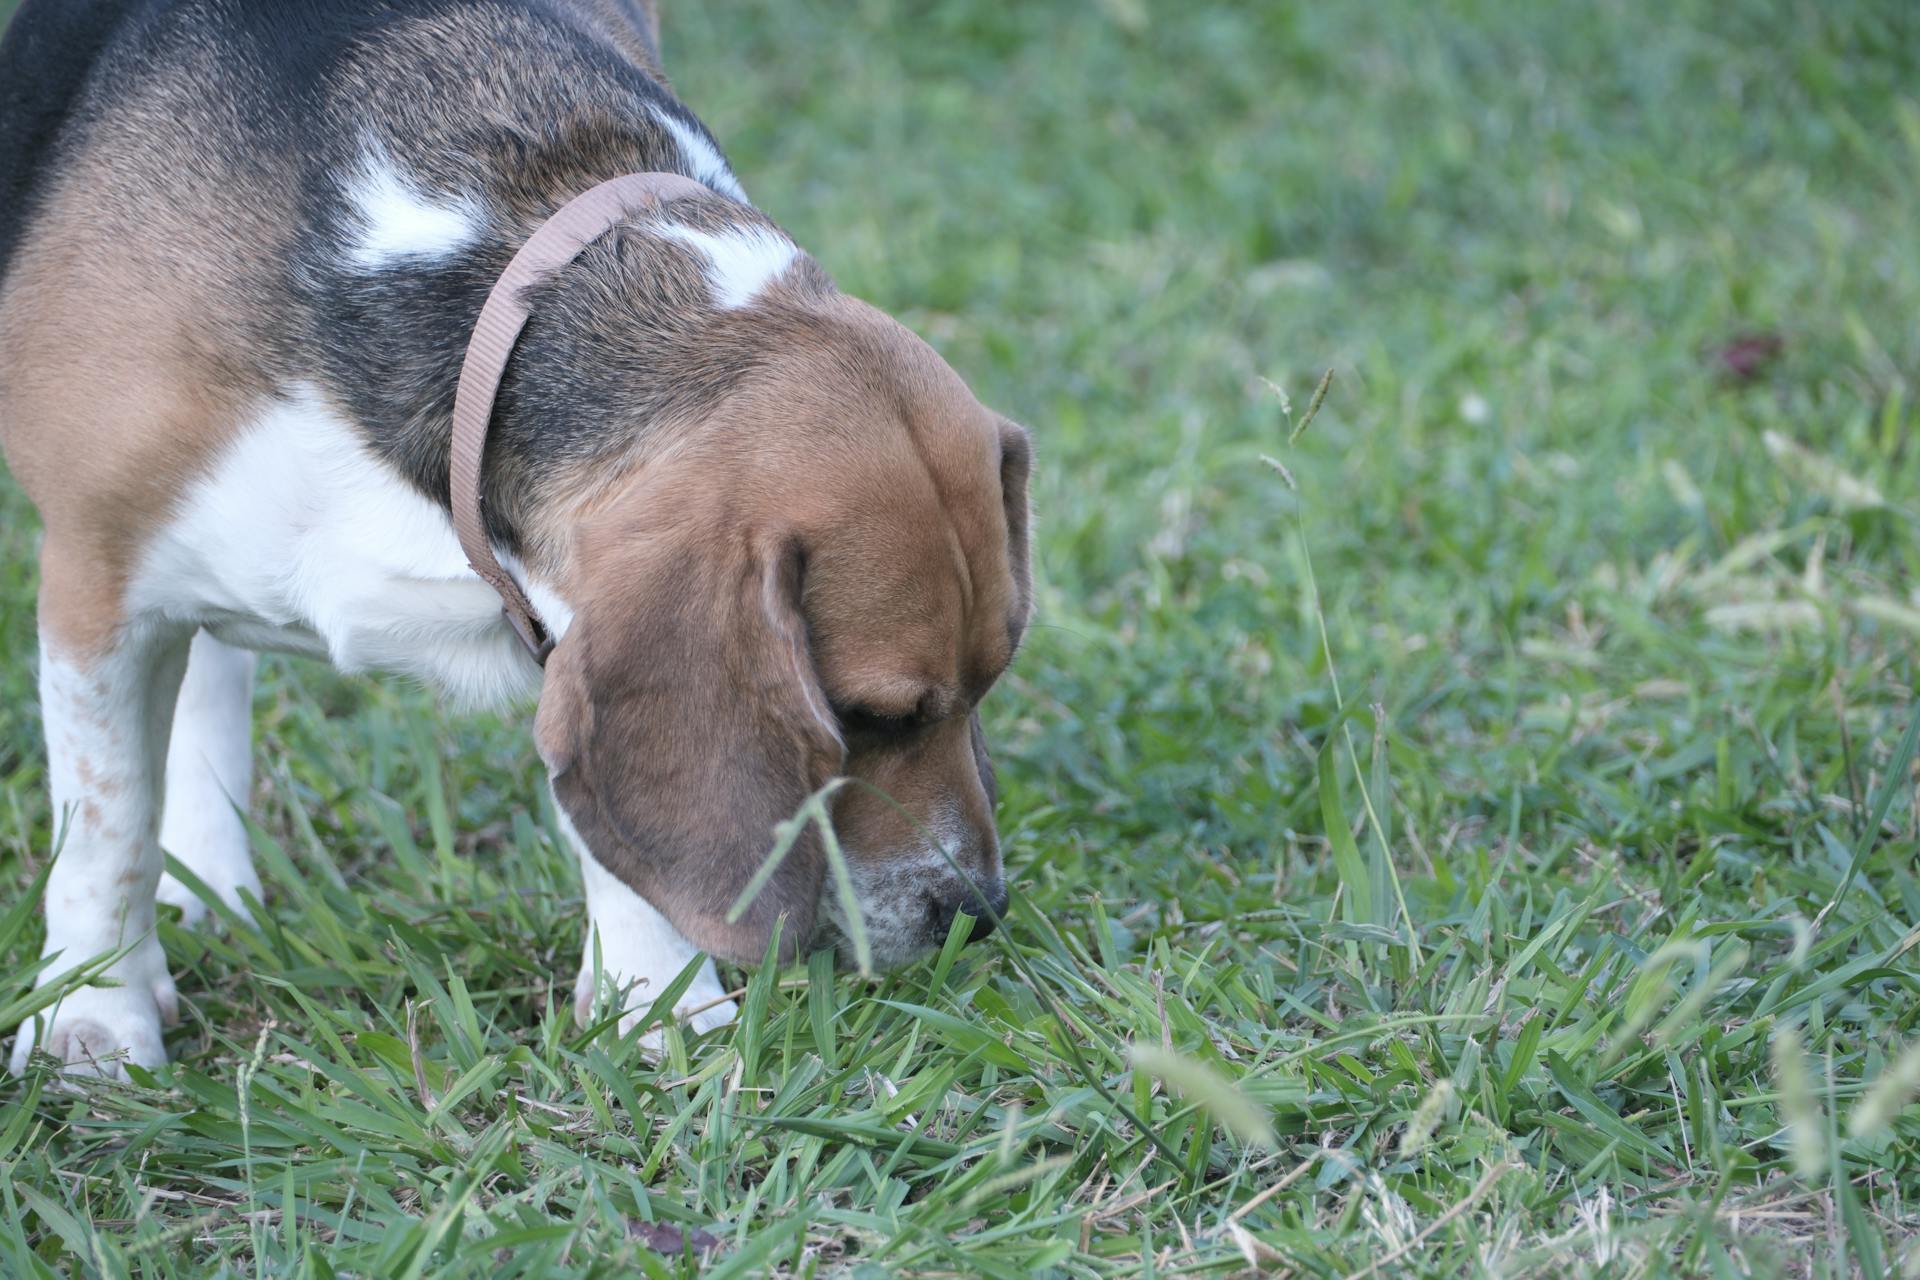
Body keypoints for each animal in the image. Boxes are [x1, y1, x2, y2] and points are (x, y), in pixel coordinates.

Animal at [0, 0, 1036, 1074]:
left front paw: (655, 1002)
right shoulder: (95, 583)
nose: (976, 915)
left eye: (993, 680)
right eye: (864, 717)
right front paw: (92, 1018)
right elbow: (107, 821)